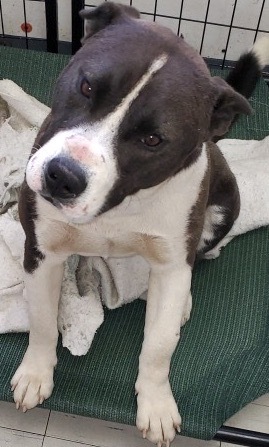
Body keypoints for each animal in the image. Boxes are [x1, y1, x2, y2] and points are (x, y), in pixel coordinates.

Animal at [10, 2, 268, 444]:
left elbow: (160, 345)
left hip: (223, 210)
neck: (119, 205)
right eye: (87, 87)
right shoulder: (41, 252)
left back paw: (182, 300)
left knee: (199, 259)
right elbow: (42, 322)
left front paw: (157, 404)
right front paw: (35, 373)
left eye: (152, 140)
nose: (62, 176)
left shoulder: (171, 259)